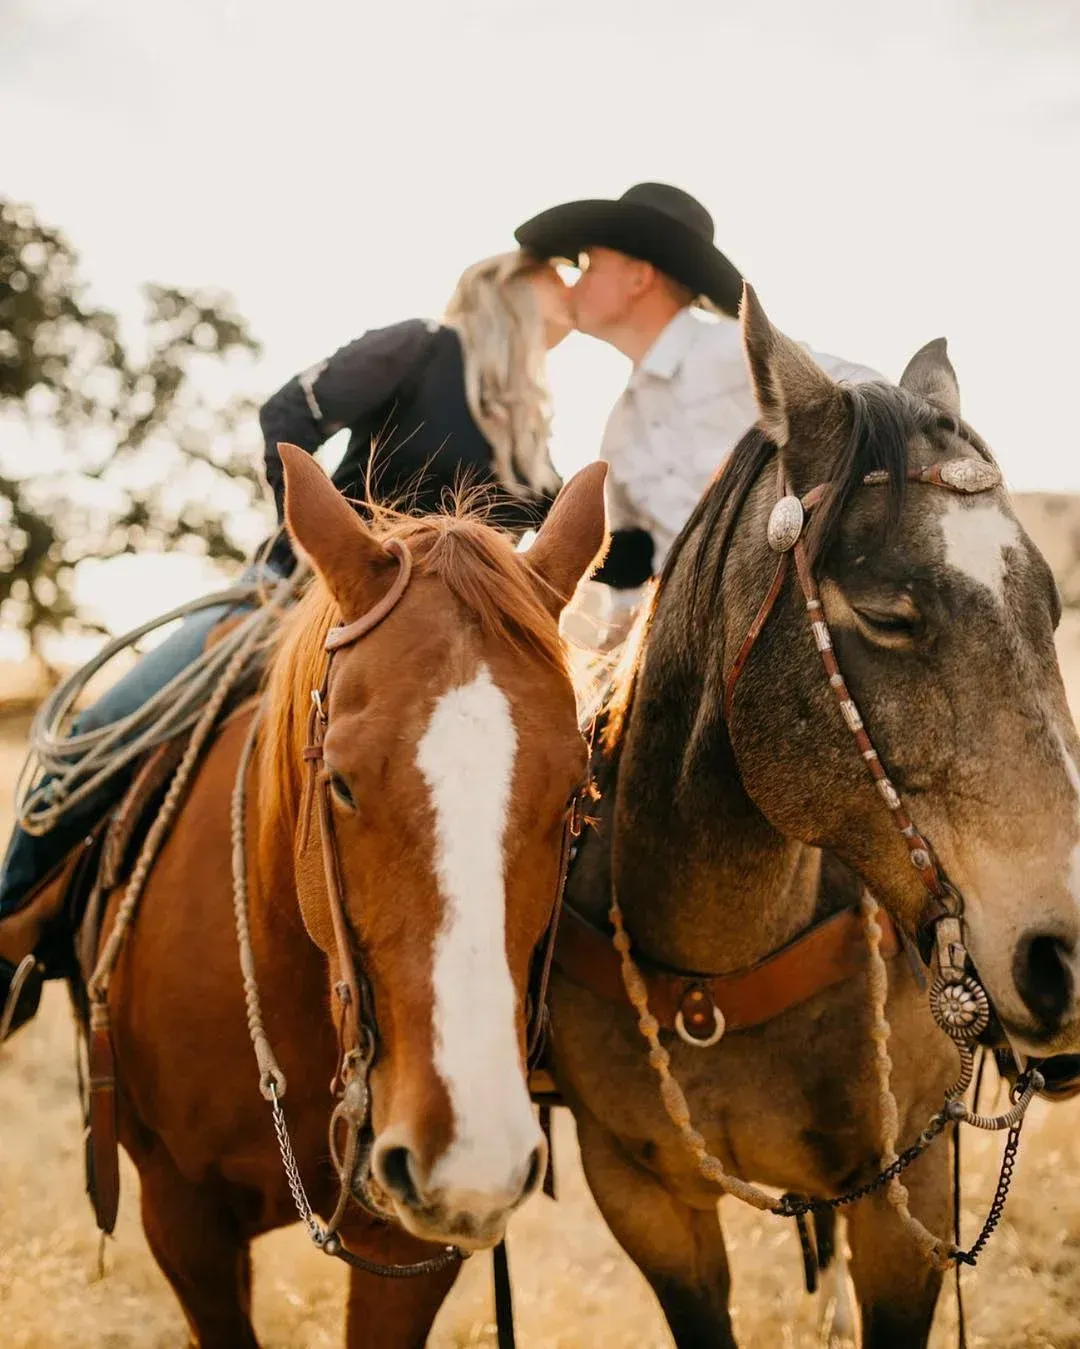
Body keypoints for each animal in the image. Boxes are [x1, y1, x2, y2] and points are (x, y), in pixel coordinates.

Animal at [548, 286, 1080, 1347]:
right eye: (886, 614)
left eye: (1048, 608)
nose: (1067, 956)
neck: (717, 970)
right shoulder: (642, 1199)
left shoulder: (914, 1185)